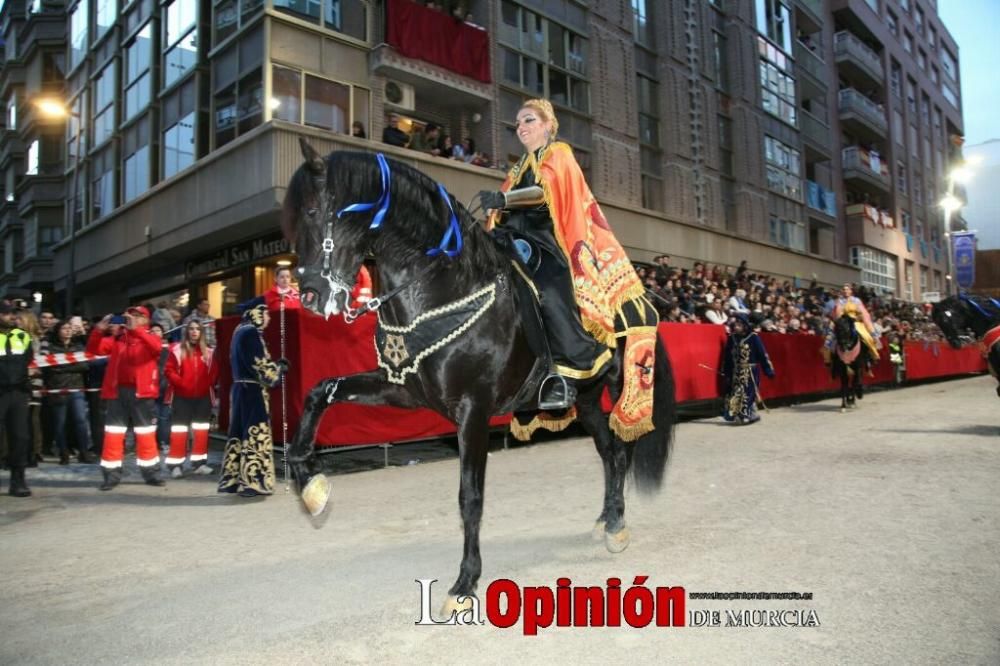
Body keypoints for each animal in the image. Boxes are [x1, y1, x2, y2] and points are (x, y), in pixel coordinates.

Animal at [278, 141, 676, 612]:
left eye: (315, 210)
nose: (310, 297)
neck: (443, 287)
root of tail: (644, 293)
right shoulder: (401, 389)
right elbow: (320, 392)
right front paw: (312, 487)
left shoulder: (474, 409)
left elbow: (470, 497)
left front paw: (464, 583)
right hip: (583, 397)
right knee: (609, 451)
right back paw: (607, 519)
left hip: (621, 384)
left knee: (621, 447)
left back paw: (617, 524)